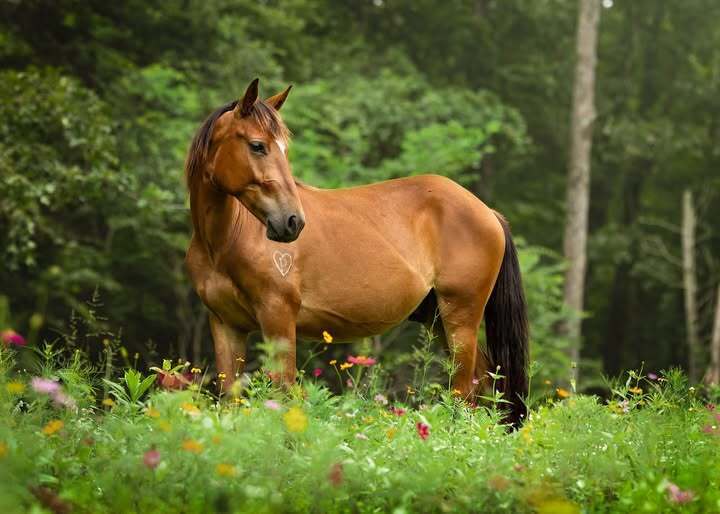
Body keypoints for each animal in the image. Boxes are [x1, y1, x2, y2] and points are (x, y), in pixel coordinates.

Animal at [184, 78, 529, 425]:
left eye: (283, 148)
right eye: (258, 146)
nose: (292, 222)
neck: (227, 241)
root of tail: (488, 212)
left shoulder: (277, 318)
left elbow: (282, 394)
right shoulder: (226, 326)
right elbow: (229, 400)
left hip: (460, 321)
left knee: (464, 396)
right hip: (439, 321)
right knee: (484, 384)